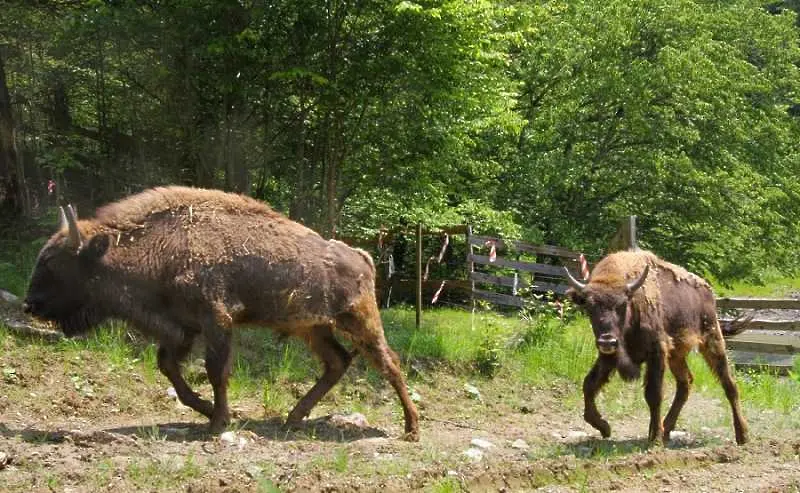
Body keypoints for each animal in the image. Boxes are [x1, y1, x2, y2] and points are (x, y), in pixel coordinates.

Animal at [20, 186, 418, 440]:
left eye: (54, 262)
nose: (30, 304)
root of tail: (362, 256)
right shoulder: (182, 329)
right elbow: (171, 370)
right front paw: (210, 413)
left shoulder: (216, 322)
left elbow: (216, 372)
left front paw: (217, 423)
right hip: (314, 328)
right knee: (337, 362)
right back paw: (293, 418)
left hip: (359, 322)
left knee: (389, 363)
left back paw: (411, 429)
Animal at [564, 248, 748, 444]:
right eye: (589, 306)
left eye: (622, 304)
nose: (607, 341)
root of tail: (708, 290)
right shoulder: (607, 356)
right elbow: (589, 384)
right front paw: (604, 427)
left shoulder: (657, 353)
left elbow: (654, 394)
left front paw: (655, 437)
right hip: (676, 355)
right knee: (685, 383)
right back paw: (667, 428)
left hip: (712, 341)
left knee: (729, 384)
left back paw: (742, 435)